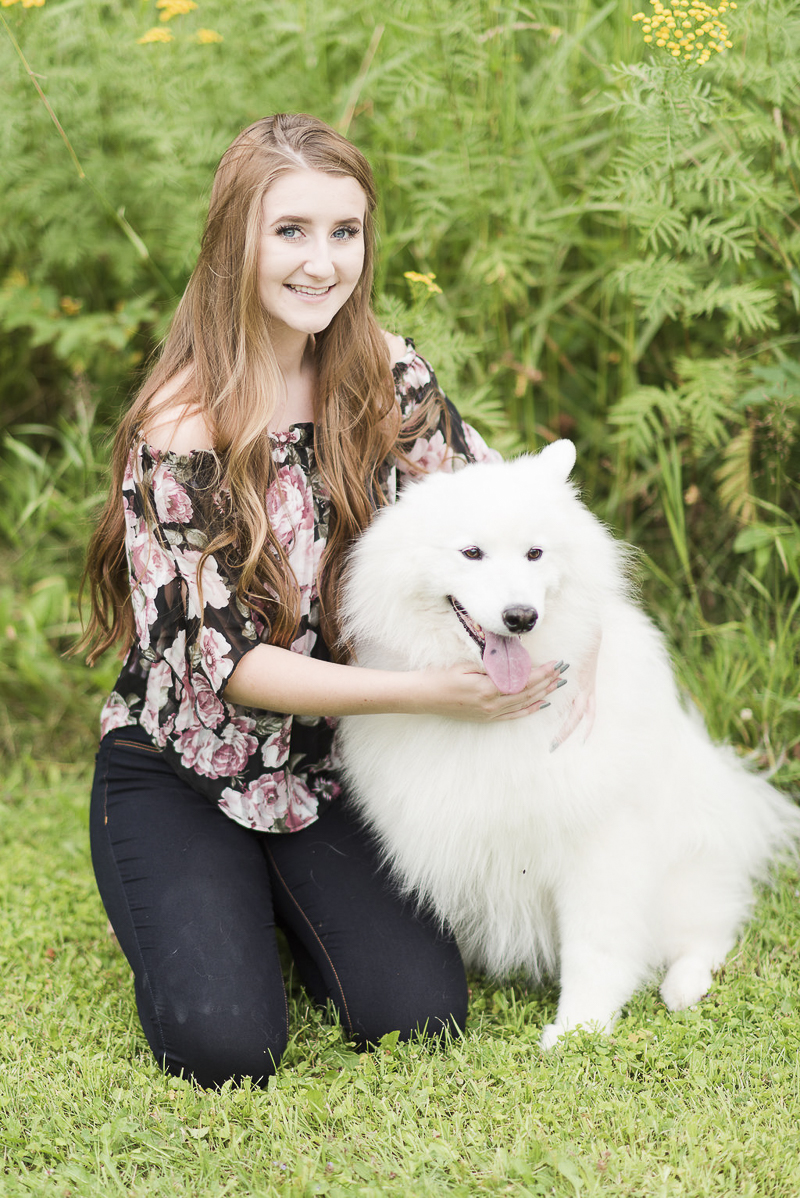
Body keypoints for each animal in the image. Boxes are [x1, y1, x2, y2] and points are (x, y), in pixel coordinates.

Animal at [337, 443, 800, 1049]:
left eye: (535, 552)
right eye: (471, 552)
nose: (520, 617)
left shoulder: (599, 841)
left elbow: (595, 943)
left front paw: (581, 1026)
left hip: (686, 872)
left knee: (709, 930)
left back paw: (684, 985)